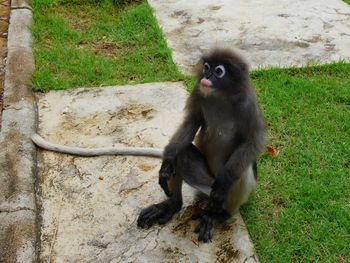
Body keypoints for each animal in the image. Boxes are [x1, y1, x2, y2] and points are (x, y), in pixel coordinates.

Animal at [137, 49, 266, 243]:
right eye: (206, 67)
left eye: (219, 71)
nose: (207, 76)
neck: (221, 96)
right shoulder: (198, 93)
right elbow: (191, 122)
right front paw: (166, 164)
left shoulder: (248, 103)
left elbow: (254, 142)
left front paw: (223, 184)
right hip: (204, 184)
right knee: (182, 154)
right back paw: (172, 204)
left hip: (218, 192)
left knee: (241, 171)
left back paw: (218, 215)